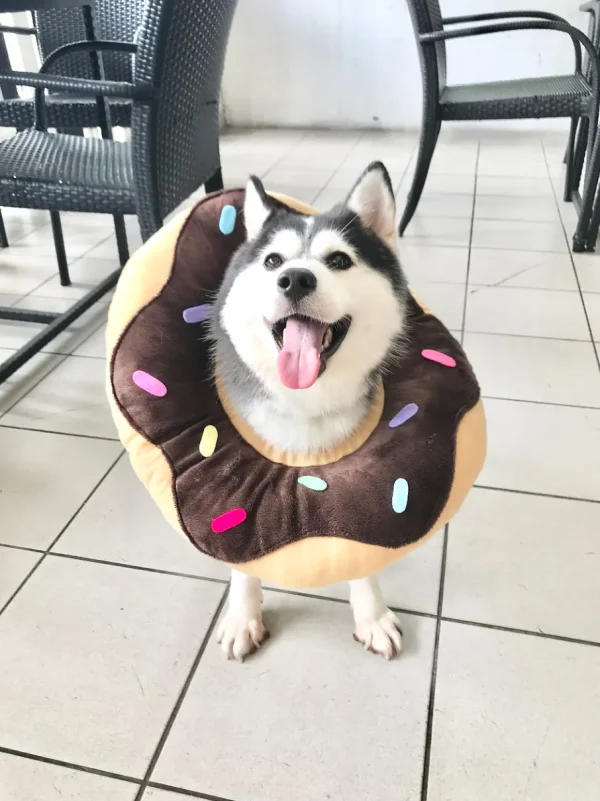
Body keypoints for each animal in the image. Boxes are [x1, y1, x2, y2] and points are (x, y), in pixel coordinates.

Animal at [209, 162, 410, 664]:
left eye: (338, 260)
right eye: (272, 262)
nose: (296, 279)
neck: (306, 400)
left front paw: (372, 615)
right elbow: (240, 553)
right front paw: (243, 615)